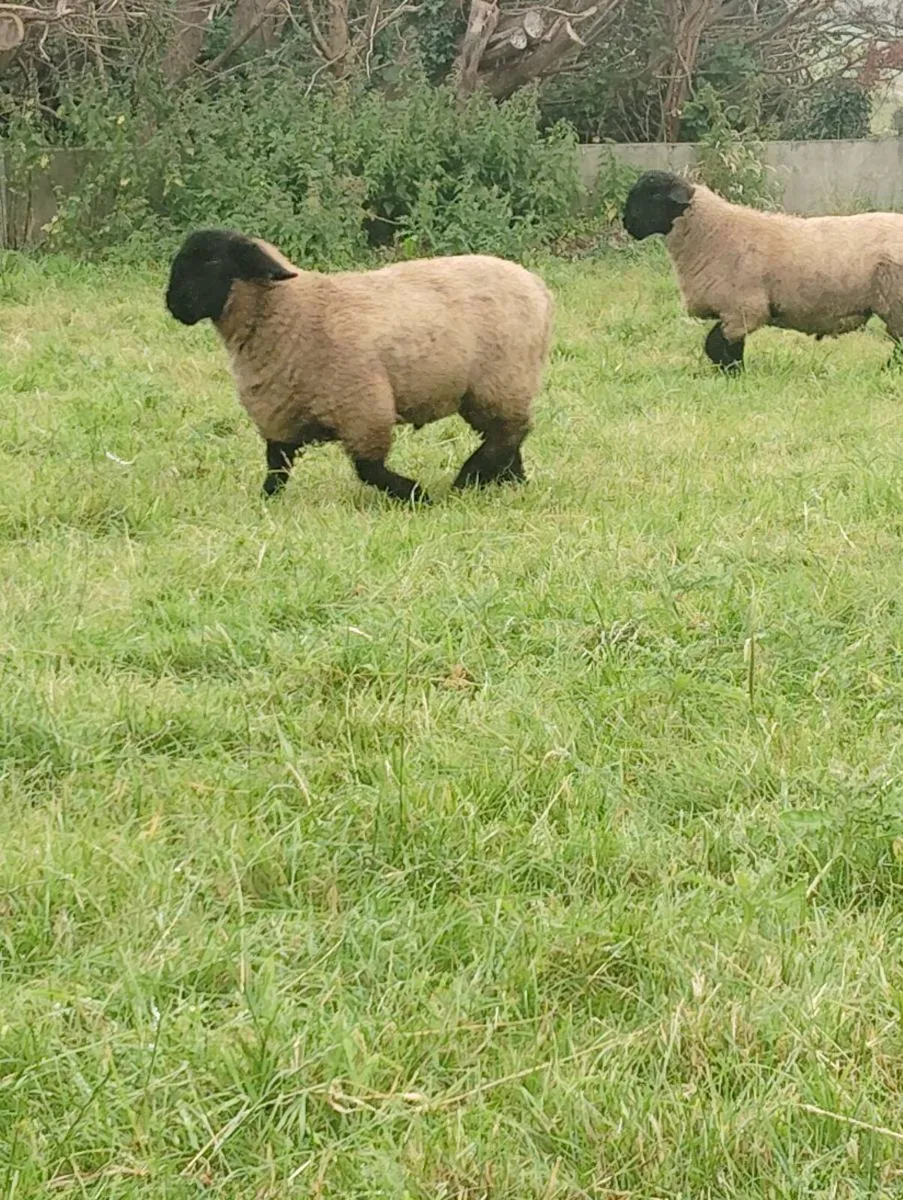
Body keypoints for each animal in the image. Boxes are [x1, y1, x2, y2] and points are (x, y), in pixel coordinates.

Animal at [164, 229, 554, 504]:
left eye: (212, 263)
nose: (172, 304)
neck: (289, 310)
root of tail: (537, 286)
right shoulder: (280, 414)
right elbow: (276, 468)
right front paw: (266, 503)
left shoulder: (364, 409)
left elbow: (369, 469)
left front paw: (417, 495)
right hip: (487, 390)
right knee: (507, 435)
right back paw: (507, 480)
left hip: (501, 381)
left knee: (510, 433)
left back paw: (469, 479)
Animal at [621, 169, 903, 373]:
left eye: (653, 196)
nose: (626, 223)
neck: (712, 232)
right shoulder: (736, 312)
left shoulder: (743, 309)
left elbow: (717, 345)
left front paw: (733, 374)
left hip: (896, 303)